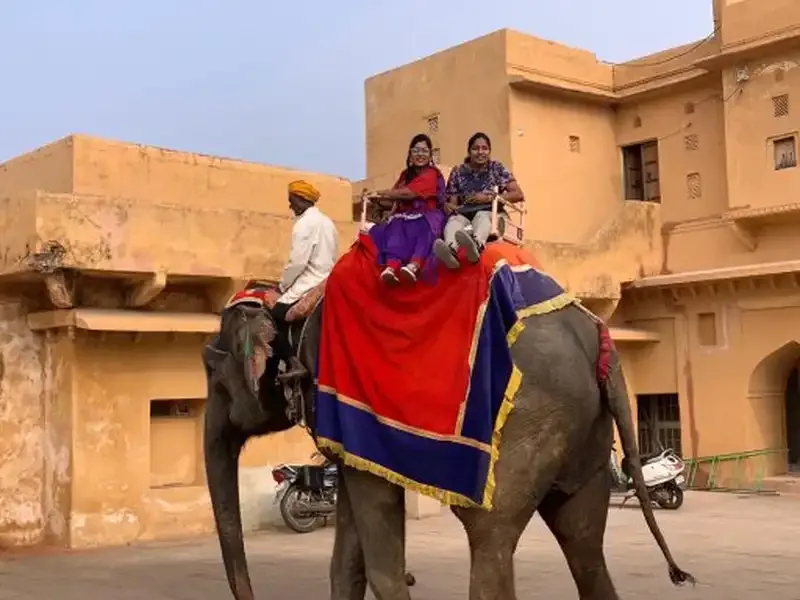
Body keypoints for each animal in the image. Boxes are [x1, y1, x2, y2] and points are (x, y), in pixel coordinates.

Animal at [202, 298, 694, 600]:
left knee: (492, 540)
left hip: (525, 423)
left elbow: (379, 557)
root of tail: (600, 342)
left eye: (210, 368)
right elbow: (346, 559)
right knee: (584, 544)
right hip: (585, 432)